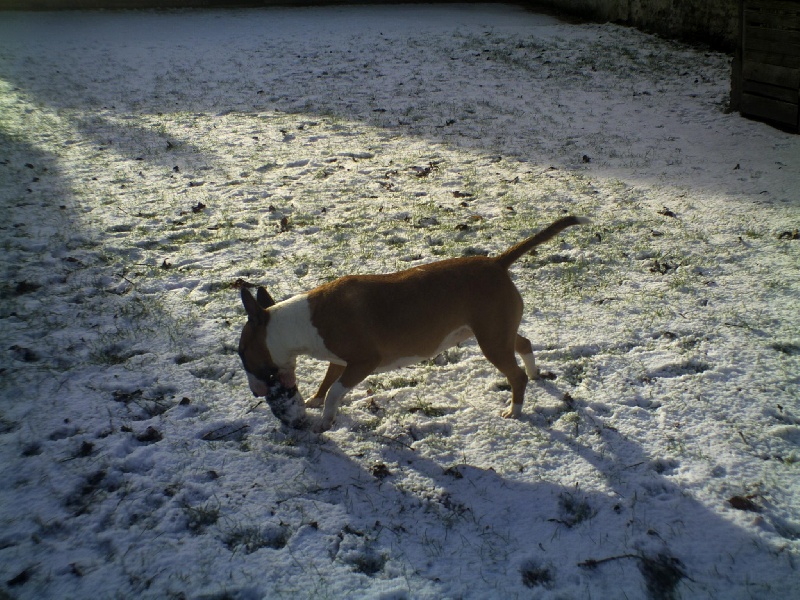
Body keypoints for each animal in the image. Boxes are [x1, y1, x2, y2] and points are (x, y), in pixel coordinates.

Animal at [238, 216, 588, 432]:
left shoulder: (364, 361)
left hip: (491, 340)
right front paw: (314, 400)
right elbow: (327, 381)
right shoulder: (339, 360)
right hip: (496, 331)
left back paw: (514, 409)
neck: (297, 324)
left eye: (241, 354)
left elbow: (336, 391)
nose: (255, 393)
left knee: (515, 375)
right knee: (524, 343)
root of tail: (496, 263)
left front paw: (325, 420)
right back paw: (535, 372)